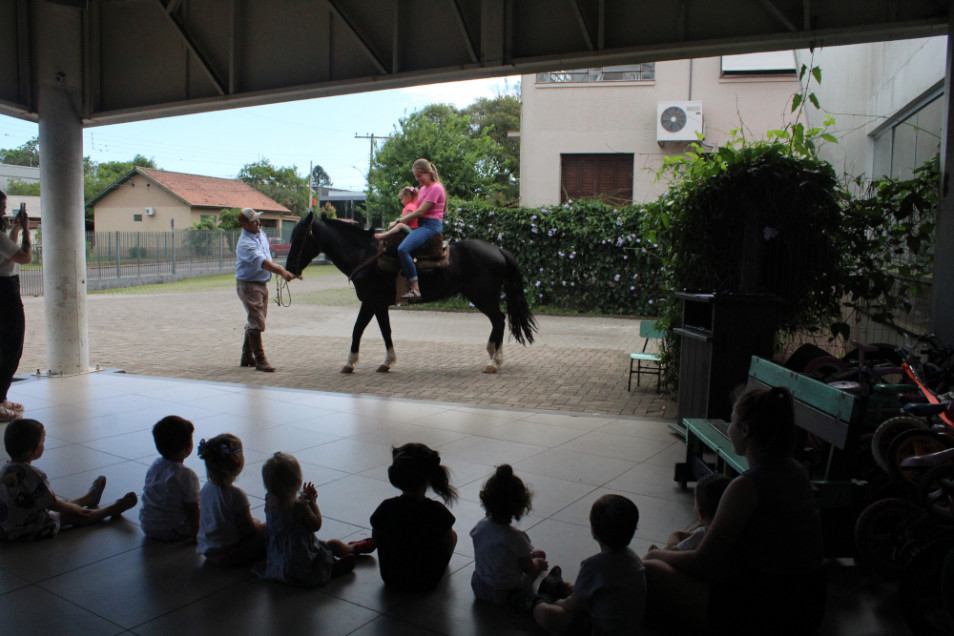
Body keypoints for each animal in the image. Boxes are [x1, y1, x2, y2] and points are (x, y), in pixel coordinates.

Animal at [282, 214, 536, 372]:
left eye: (300, 237)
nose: (290, 269)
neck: (364, 255)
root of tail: (499, 250)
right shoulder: (379, 305)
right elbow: (386, 331)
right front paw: (387, 362)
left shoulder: (370, 302)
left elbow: (357, 330)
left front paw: (350, 363)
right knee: (497, 321)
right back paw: (492, 352)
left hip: (482, 296)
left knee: (499, 319)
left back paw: (495, 361)